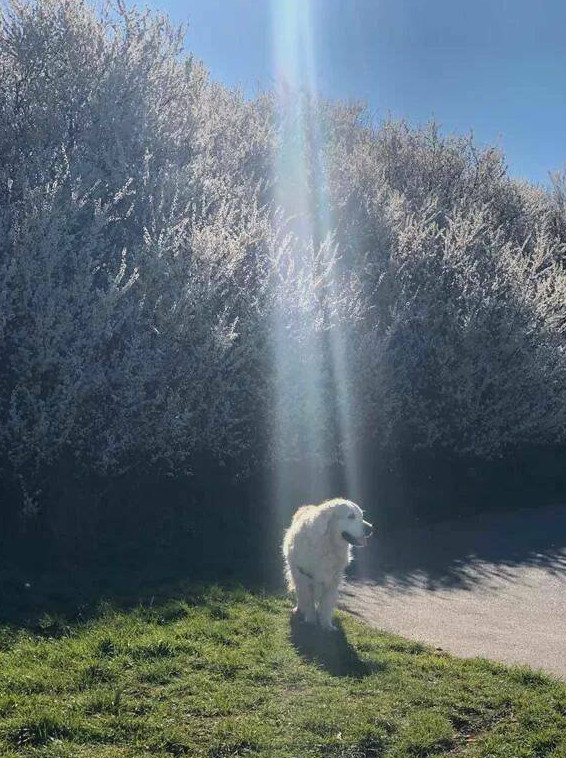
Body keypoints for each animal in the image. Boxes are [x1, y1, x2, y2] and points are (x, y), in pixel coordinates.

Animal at [282, 498, 373, 630]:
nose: (371, 528)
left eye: (361, 515)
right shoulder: (306, 578)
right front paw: (311, 621)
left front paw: (326, 625)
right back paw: (299, 609)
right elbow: (309, 602)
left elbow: (326, 604)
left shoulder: (332, 580)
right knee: (300, 595)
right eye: (351, 516)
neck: (328, 545)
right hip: (296, 574)